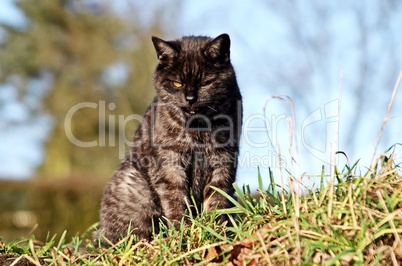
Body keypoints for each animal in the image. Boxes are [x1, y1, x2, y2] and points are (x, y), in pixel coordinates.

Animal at [95, 33, 242, 245]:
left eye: (205, 82)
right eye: (177, 83)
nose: (190, 98)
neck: (198, 128)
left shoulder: (223, 158)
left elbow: (217, 198)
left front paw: (215, 230)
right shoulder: (170, 162)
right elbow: (176, 199)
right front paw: (183, 232)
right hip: (135, 186)